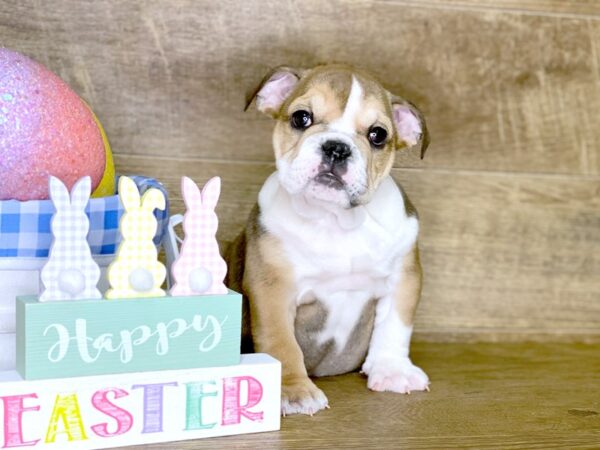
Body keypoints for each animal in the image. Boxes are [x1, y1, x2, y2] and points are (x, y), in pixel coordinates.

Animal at [227, 63, 428, 414]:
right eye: (301, 118)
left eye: (378, 135)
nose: (337, 147)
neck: (335, 219)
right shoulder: (273, 287)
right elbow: (281, 342)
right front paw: (293, 390)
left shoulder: (403, 277)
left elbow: (395, 326)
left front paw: (392, 370)